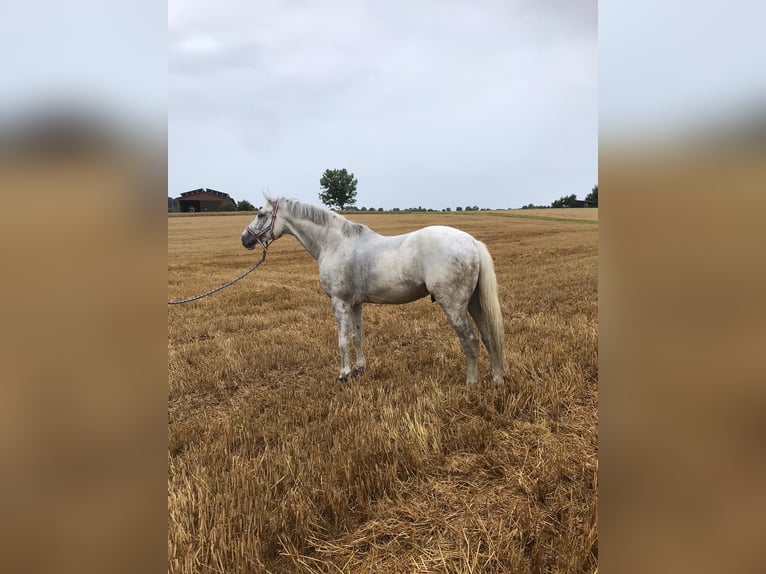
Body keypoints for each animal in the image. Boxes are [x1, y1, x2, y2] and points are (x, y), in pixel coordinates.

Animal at [243, 194, 508, 388]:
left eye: (260, 214)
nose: (245, 239)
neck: (335, 243)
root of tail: (471, 242)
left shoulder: (339, 303)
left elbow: (342, 340)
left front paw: (343, 375)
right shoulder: (355, 304)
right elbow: (357, 337)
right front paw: (359, 370)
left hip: (454, 306)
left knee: (470, 340)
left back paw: (471, 383)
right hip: (473, 303)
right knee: (488, 337)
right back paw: (497, 379)